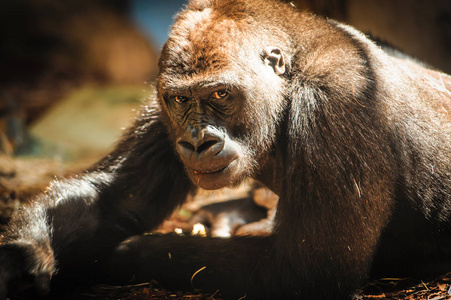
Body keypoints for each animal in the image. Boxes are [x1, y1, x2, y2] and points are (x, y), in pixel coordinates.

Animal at [0, 0, 451, 298]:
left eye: (221, 93)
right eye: (181, 99)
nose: (198, 143)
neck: (292, 75)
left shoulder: (340, 100)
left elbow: (305, 272)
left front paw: (129, 254)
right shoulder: (164, 108)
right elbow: (111, 201)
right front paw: (23, 256)